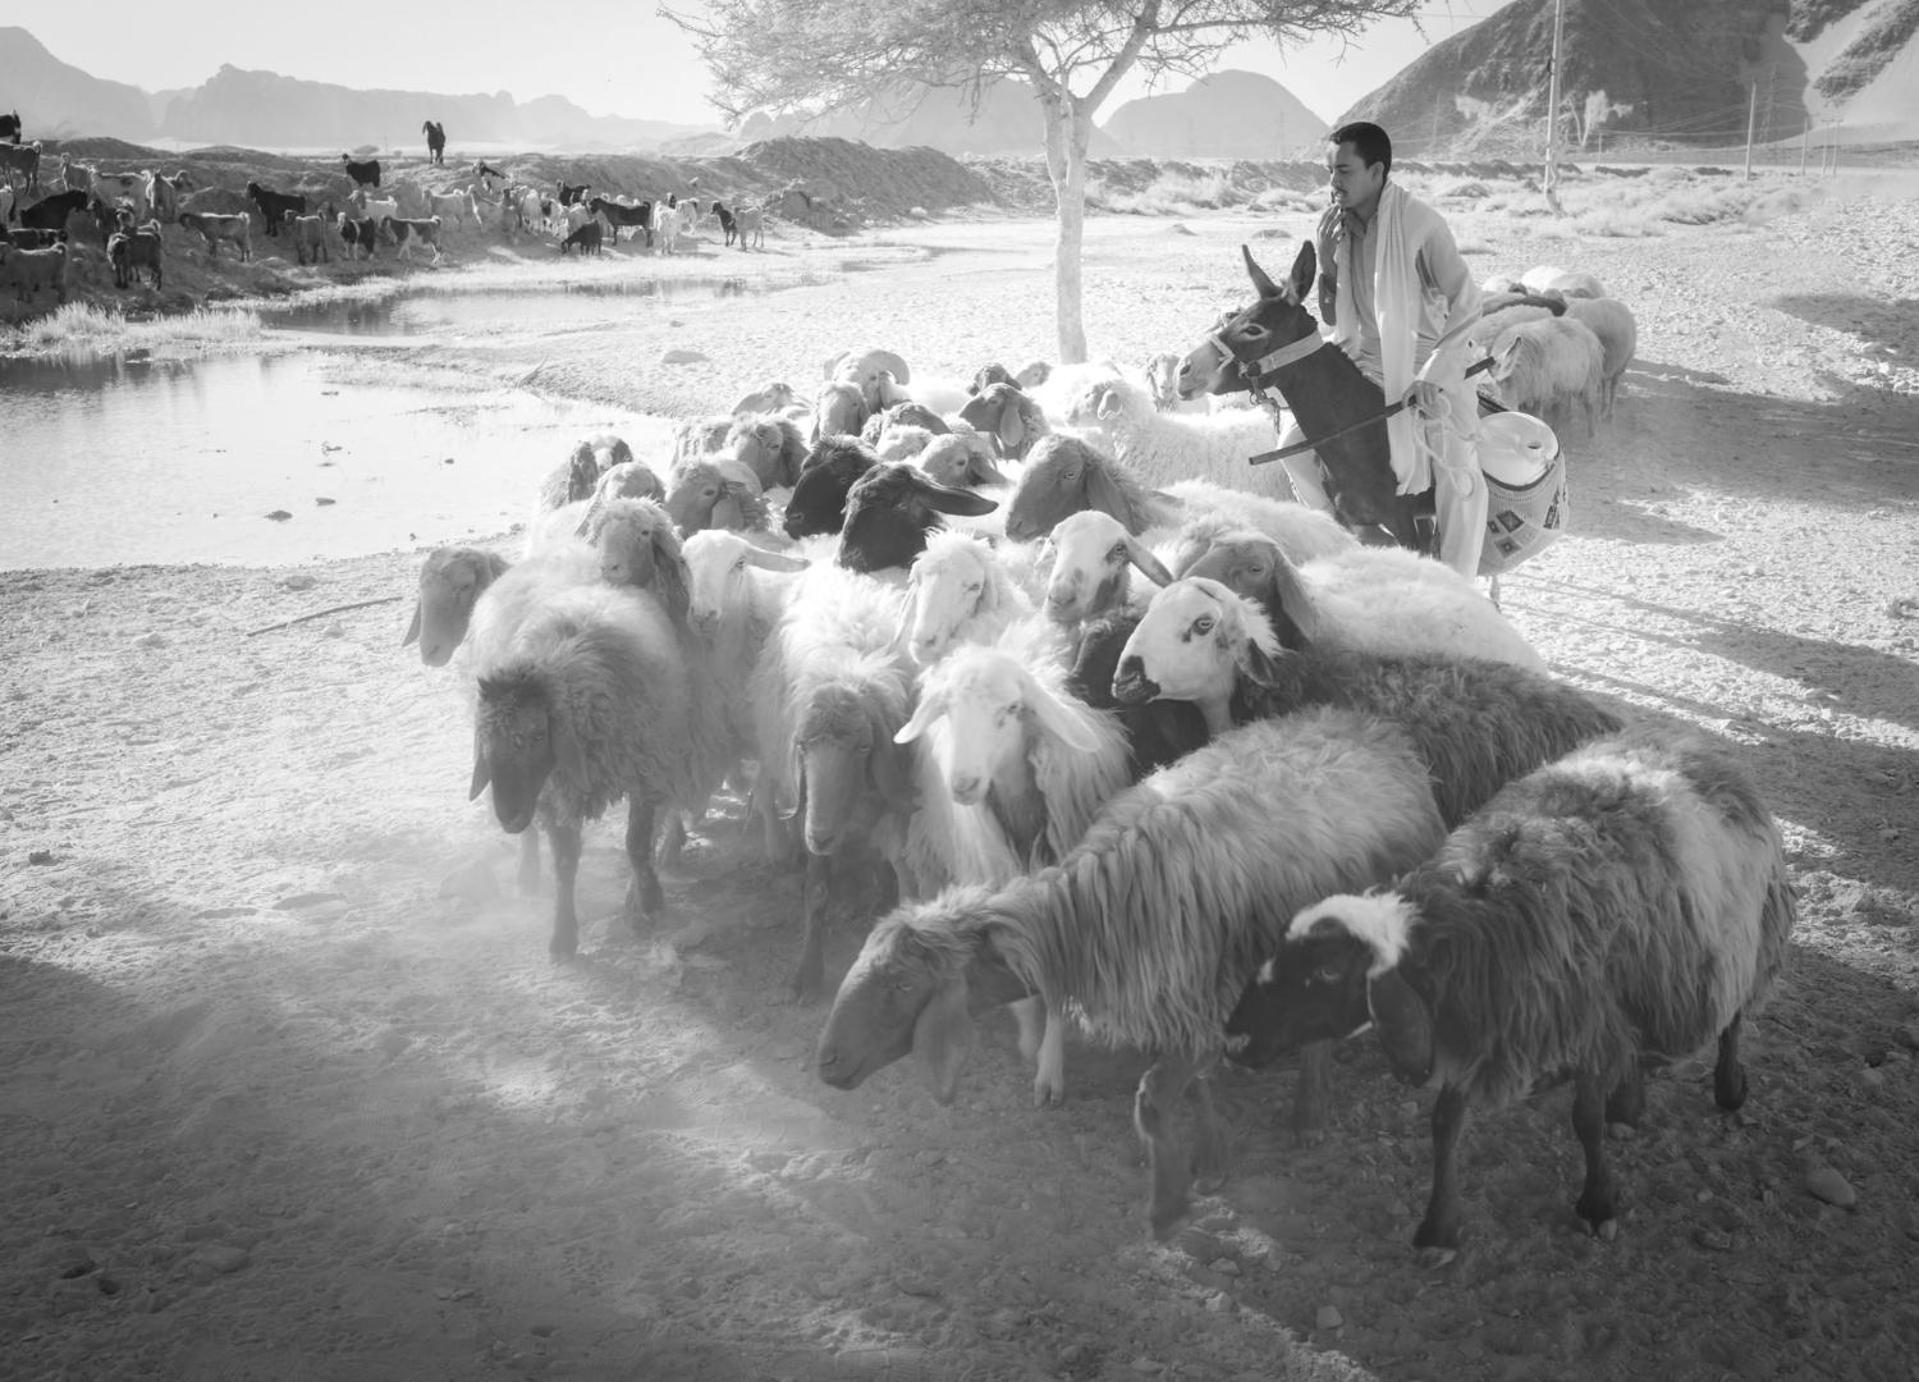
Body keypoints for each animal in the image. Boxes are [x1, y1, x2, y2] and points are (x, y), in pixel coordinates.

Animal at [1228, 733, 1796, 1266]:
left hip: (1747, 938)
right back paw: (1629, 1104)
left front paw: (1597, 1204)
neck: (1475, 929)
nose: (1232, 1039)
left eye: (1327, 970)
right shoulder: (1479, 1024)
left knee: (1733, 1019)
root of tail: (1690, 746)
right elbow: (1445, 1127)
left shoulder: (1583, 1024)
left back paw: (1728, 1087)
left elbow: (1585, 1123)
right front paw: (1438, 1231)